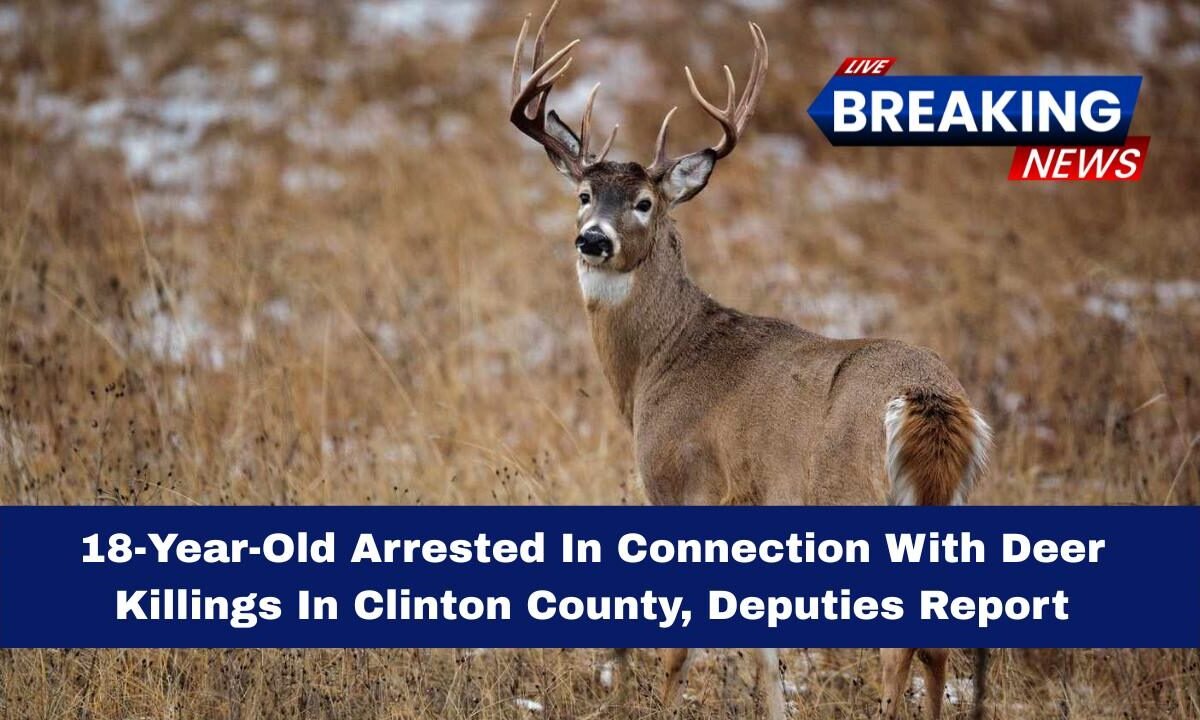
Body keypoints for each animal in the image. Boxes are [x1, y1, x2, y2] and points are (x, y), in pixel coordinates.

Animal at [508, 2, 992, 719]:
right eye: (583, 196)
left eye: (644, 203)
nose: (592, 240)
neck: (659, 360)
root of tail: (929, 398)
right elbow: (764, 650)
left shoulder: (685, 487)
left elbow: (680, 644)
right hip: (953, 502)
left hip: (857, 498)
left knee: (900, 646)